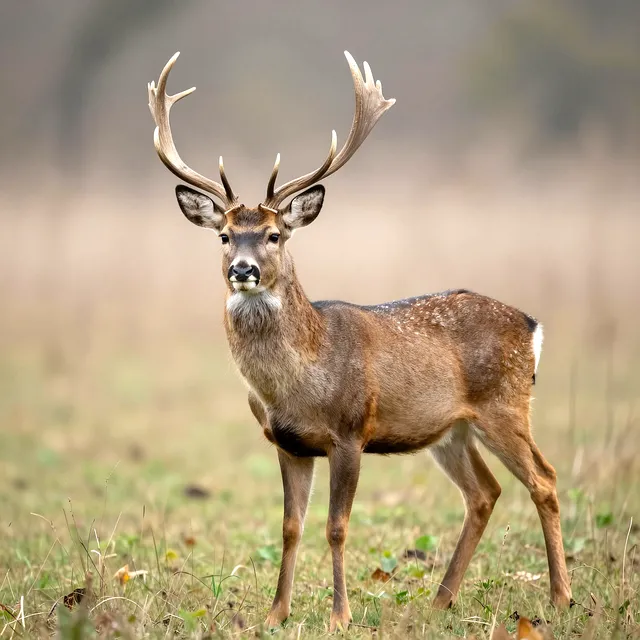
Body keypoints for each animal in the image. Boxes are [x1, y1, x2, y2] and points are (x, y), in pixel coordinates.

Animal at [148, 51, 572, 632]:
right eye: (224, 235)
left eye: (275, 235)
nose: (243, 269)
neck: (300, 378)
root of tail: (532, 326)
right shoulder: (286, 443)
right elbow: (290, 526)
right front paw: (276, 613)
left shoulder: (350, 431)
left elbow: (336, 527)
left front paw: (339, 616)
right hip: (452, 430)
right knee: (484, 492)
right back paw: (440, 600)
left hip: (505, 404)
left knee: (544, 480)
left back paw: (560, 597)